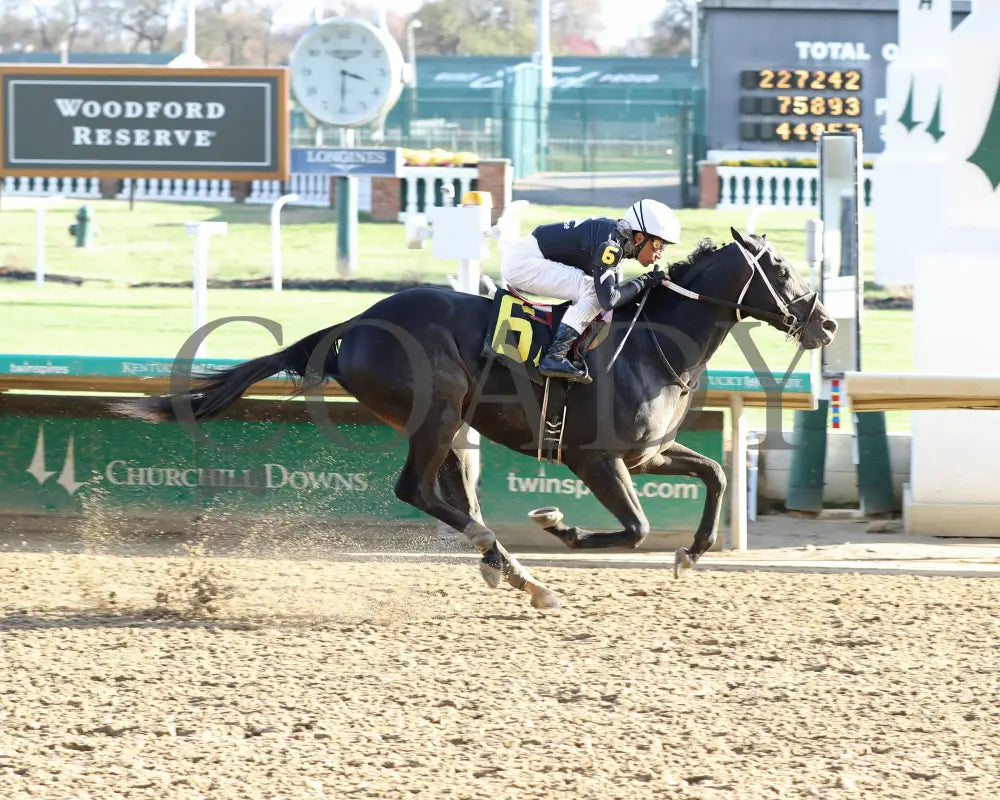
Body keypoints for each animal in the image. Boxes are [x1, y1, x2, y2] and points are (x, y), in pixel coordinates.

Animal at [119, 228, 836, 608]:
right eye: (779, 267)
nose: (825, 323)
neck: (653, 341)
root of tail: (356, 322)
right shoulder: (595, 458)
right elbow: (633, 529)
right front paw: (558, 527)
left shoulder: (647, 453)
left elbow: (716, 473)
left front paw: (692, 553)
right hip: (434, 413)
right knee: (416, 490)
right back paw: (514, 565)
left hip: (455, 424)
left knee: (450, 492)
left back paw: (509, 569)